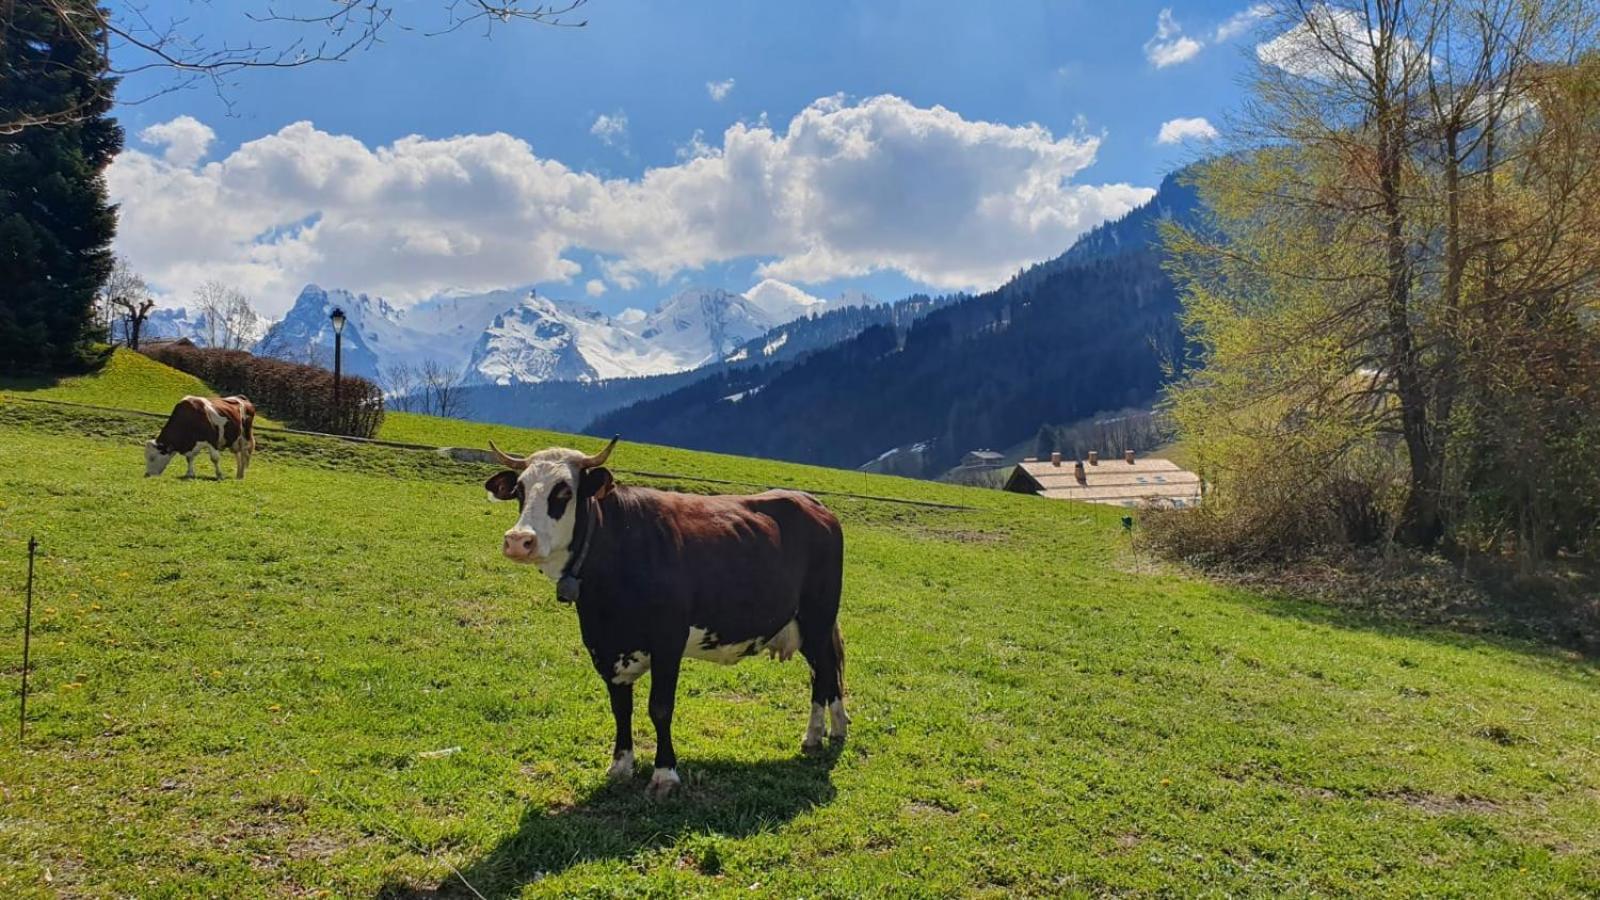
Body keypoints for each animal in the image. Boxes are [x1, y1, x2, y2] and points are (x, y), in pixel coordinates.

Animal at [480, 435, 844, 791]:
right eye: (520, 491)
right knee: (823, 672)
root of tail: (815, 505)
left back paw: (814, 736)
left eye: (564, 491)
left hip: (817, 617)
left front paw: (665, 774)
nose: (518, 540)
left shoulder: (669, 641)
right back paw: (837, 727)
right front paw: (620, 765)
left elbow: (660, 707)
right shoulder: (605, 645)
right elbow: (620, 708)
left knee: (825, 671)